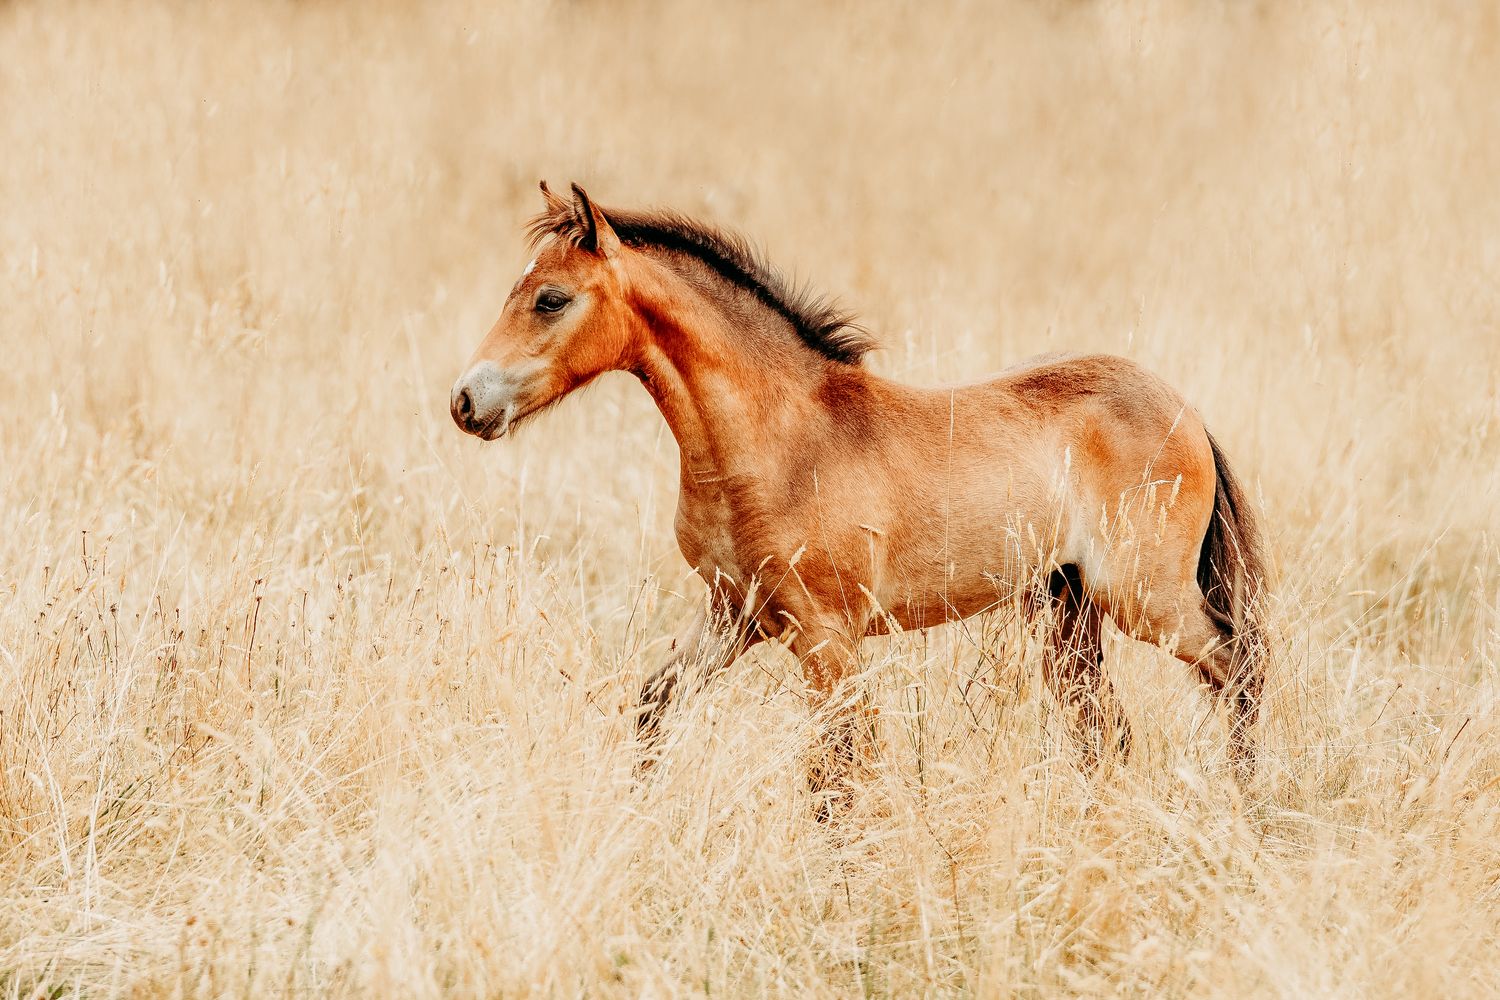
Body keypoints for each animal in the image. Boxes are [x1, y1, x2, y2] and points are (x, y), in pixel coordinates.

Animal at [453, 183, 1266, 803]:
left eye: (551, 299)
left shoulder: (827, 639)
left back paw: (1249, 804)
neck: (776, 441)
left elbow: (839, 772)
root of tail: (1185, 411)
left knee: (1241, 670)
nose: (466, 401)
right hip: (1070, 612)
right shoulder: (733, 615)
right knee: (1110, 732)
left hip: (1144, 601)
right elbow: (655, 709)